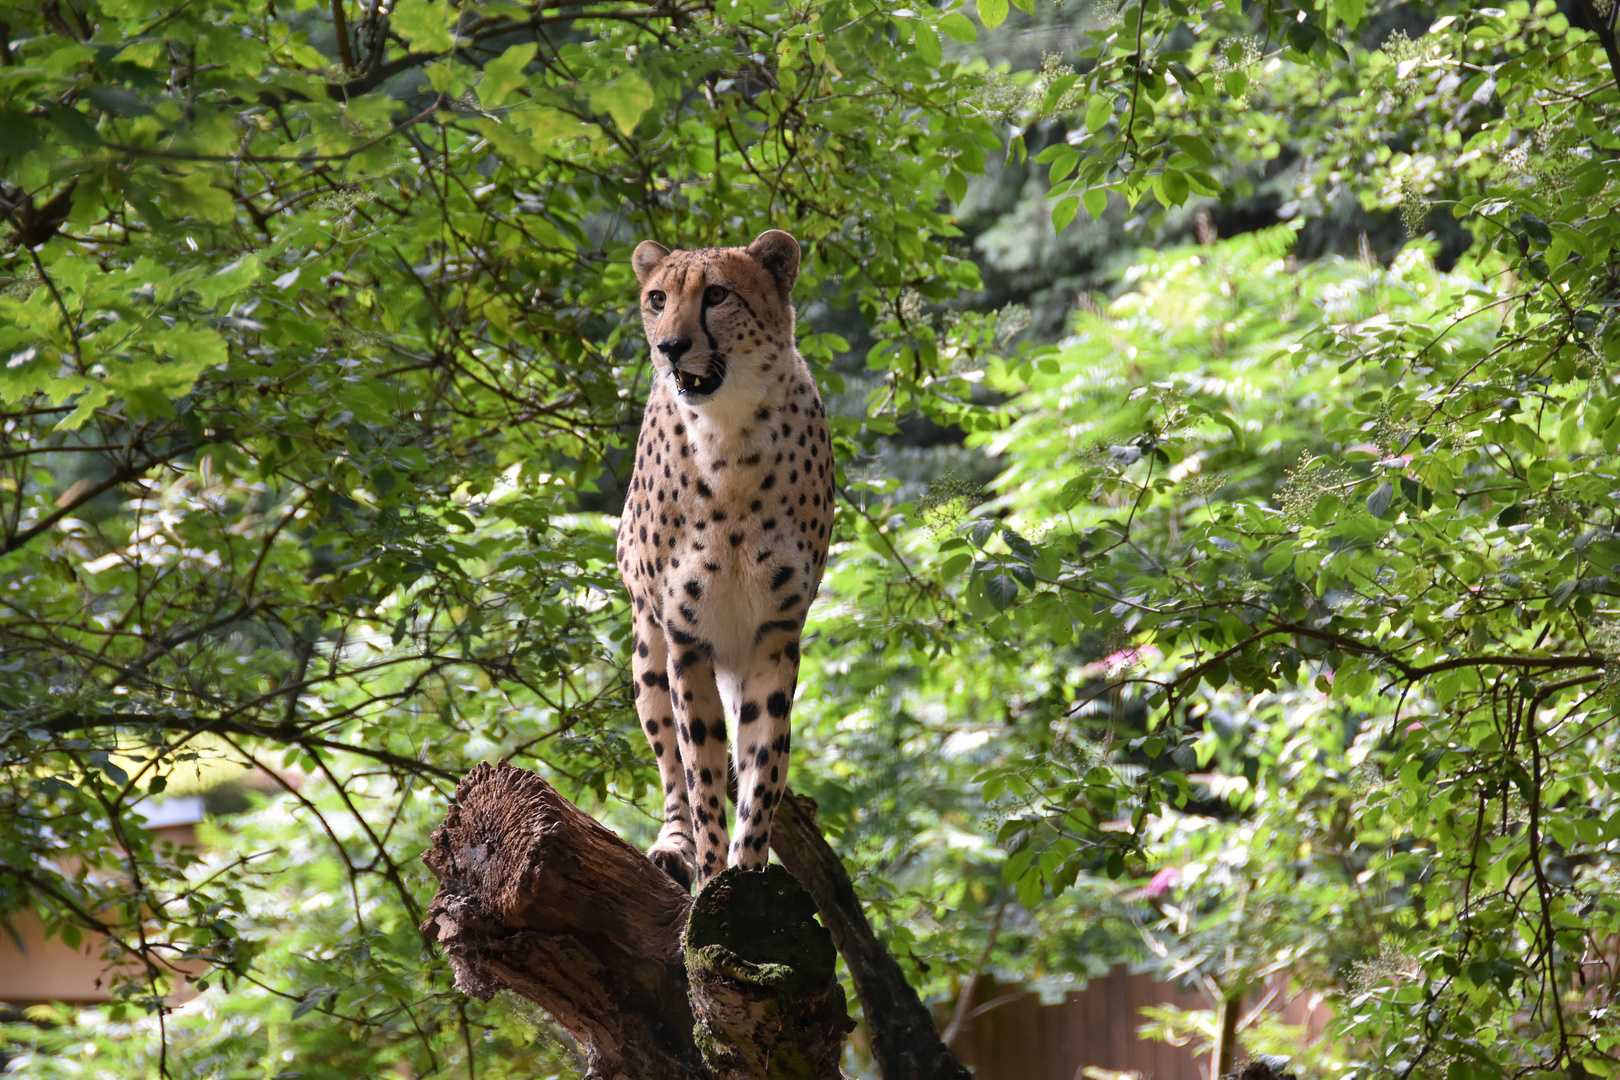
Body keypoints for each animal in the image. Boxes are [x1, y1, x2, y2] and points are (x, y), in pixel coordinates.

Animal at [615, 233, 835, 893]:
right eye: (657, 299)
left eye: (717, 295)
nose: (669, 347)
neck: (729, 437)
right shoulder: (687, 639)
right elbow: (701, 771)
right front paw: (713, 874)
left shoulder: (775, 634)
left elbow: (762, 765)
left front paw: (747, 871)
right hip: (648, 651)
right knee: (669, 763)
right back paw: (673, 846)